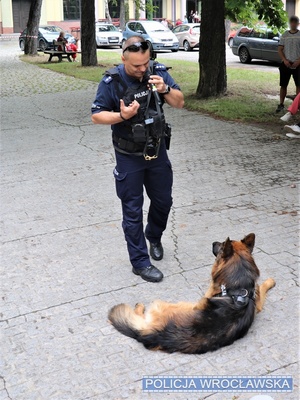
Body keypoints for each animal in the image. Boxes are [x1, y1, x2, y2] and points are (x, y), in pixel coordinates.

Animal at [109, 233, 276, 354]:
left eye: (221, 245)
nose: (213, 242)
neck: (240, 287)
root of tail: (151, 334)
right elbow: (261, 288)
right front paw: (270, 281)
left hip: (165, 304)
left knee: (139, 317)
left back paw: (139, 306)